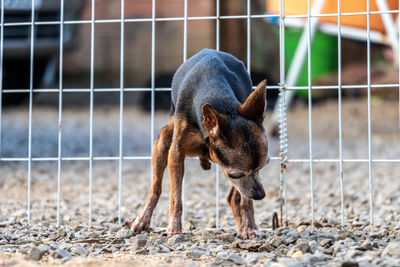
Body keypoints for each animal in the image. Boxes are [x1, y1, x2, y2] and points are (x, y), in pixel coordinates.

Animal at [128, 49, 270, 240]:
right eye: (235, 175)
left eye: (263, 166)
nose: (261, 195)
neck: (221, 101)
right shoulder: (176, 153)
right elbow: (176, 197)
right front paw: (174, 228)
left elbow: (244, 200)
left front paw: (249, 226)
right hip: (162, 144)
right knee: (155, 188)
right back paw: (142, 219)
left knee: (236, 197)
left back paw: (246, 225)